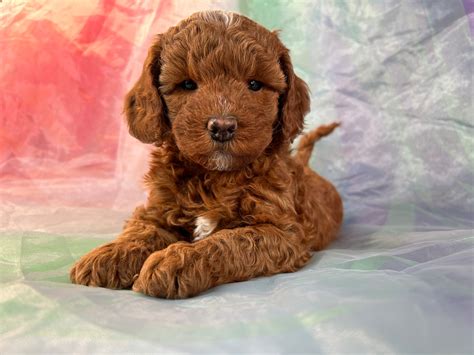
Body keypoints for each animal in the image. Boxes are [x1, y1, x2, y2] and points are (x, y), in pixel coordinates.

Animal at [70, 11, 342, 298]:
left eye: (254, 84)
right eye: (188, 84)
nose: (222, 126)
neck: (215, 175)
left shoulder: (284, 232)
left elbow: (233, 240)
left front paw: (176, 261)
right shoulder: (157, 209)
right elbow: (141, 230)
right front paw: (109, 255)